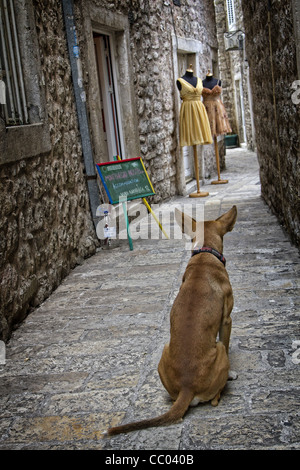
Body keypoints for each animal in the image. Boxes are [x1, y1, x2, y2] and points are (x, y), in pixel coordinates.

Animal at [106, 206, 238, 436]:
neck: (205, 253)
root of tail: (187, 387)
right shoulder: (226, 321)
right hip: (219, 349)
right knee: (214, 397)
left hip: (164, 350)